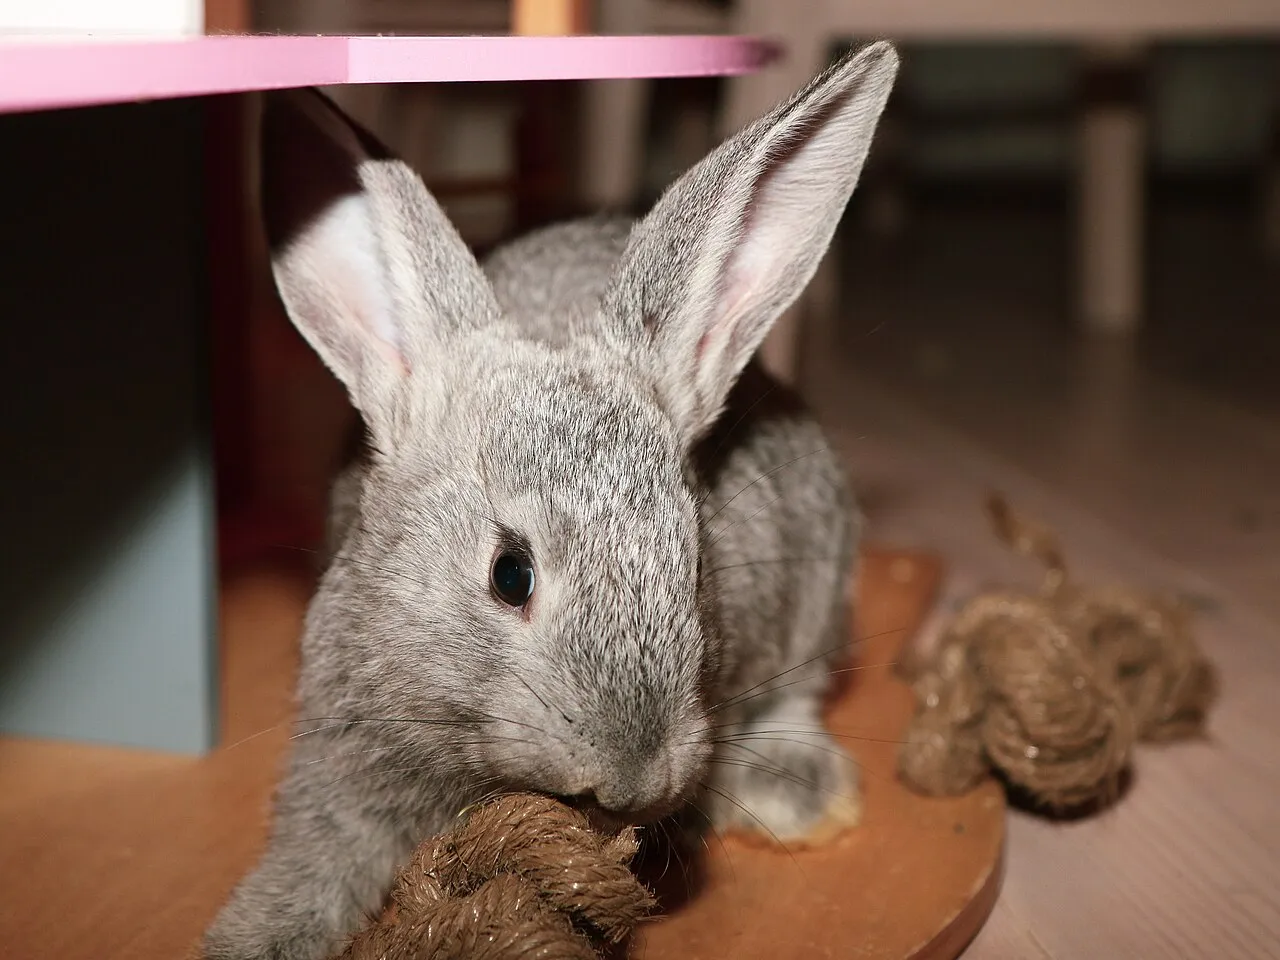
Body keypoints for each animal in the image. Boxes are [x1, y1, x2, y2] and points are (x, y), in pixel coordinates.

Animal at [204, 40, 899, 960]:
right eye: (511, 574)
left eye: (698, 567)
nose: (634, 775)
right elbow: (320, 849)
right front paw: (256, 934)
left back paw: (798, 791)